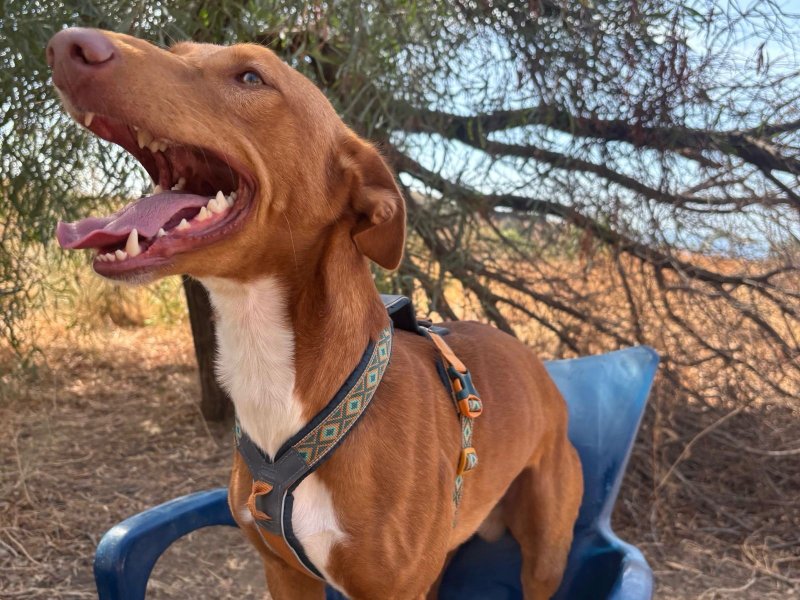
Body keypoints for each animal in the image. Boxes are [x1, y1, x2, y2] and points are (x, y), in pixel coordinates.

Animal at [48, 28, 583, 599]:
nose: (67, 44)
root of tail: (542, 371)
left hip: (544, 555)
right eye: (179, 51)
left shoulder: (391, 589)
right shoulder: (283, 570)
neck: (275, 379)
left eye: (251, 77)